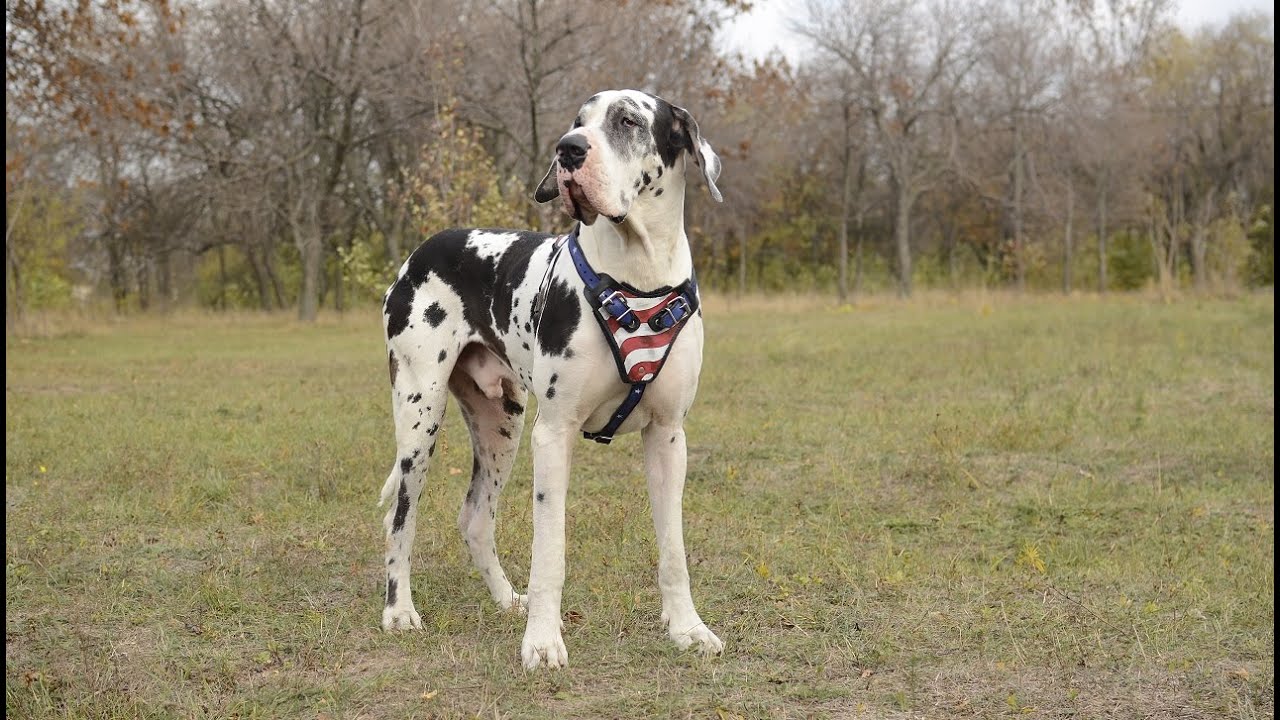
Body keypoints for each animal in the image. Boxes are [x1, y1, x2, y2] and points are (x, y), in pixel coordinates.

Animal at [376, 88, 721, 666]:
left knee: (475, 519)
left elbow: (673, 549)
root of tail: (420, 252)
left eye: (629, 120)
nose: (569, 149)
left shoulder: (669, 437)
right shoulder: (554, 435)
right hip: (421, 414)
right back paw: (399, 611)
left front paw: (687, 629)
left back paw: (505, 599)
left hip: (501, 423)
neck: (637, 276)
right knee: (401, 516)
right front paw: (542, 642)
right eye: (578, 120)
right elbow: (550, 552)